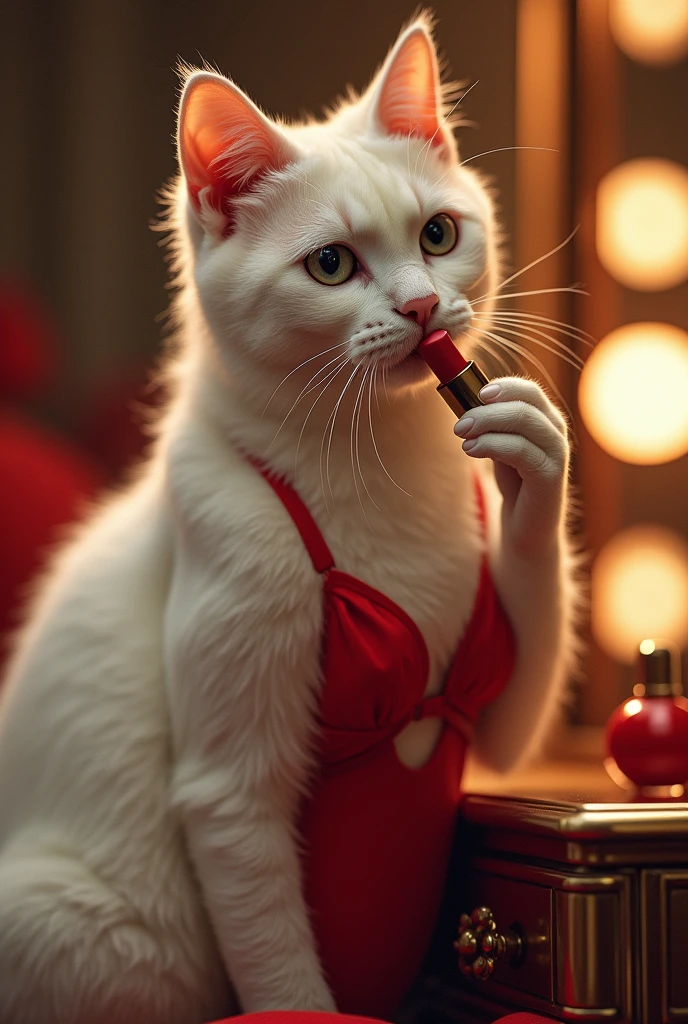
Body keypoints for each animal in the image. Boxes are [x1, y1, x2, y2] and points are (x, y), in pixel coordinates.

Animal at [0, 18, 581, 1024]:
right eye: (332, 264)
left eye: (438, 234)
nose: (423, 308)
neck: (375, 459)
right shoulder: (230, 798)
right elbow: (281, 974)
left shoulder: (495, 723)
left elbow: (525, 650)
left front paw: (526, 435)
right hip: (63, 920)